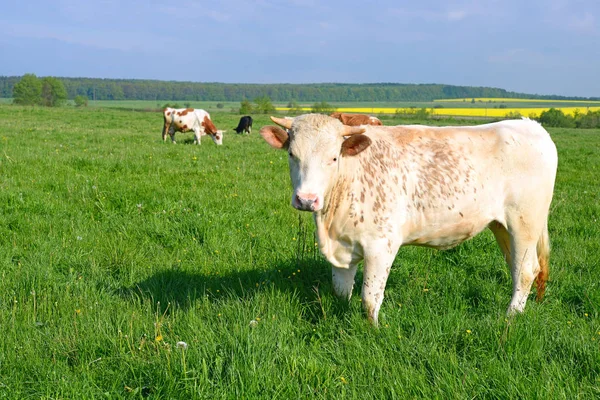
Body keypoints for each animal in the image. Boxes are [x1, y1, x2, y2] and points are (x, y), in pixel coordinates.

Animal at [260, 113, 560, 324]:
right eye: (292, 154)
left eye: (333, 158)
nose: (306, 199)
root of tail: (531, 125)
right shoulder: (342, 246)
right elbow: (341, 291)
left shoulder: (381, 245)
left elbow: (370, 298)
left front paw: (373, 331)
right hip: (502, 226)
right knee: (515, 267)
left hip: (525, 221)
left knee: (526, 270)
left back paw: (510, 317)